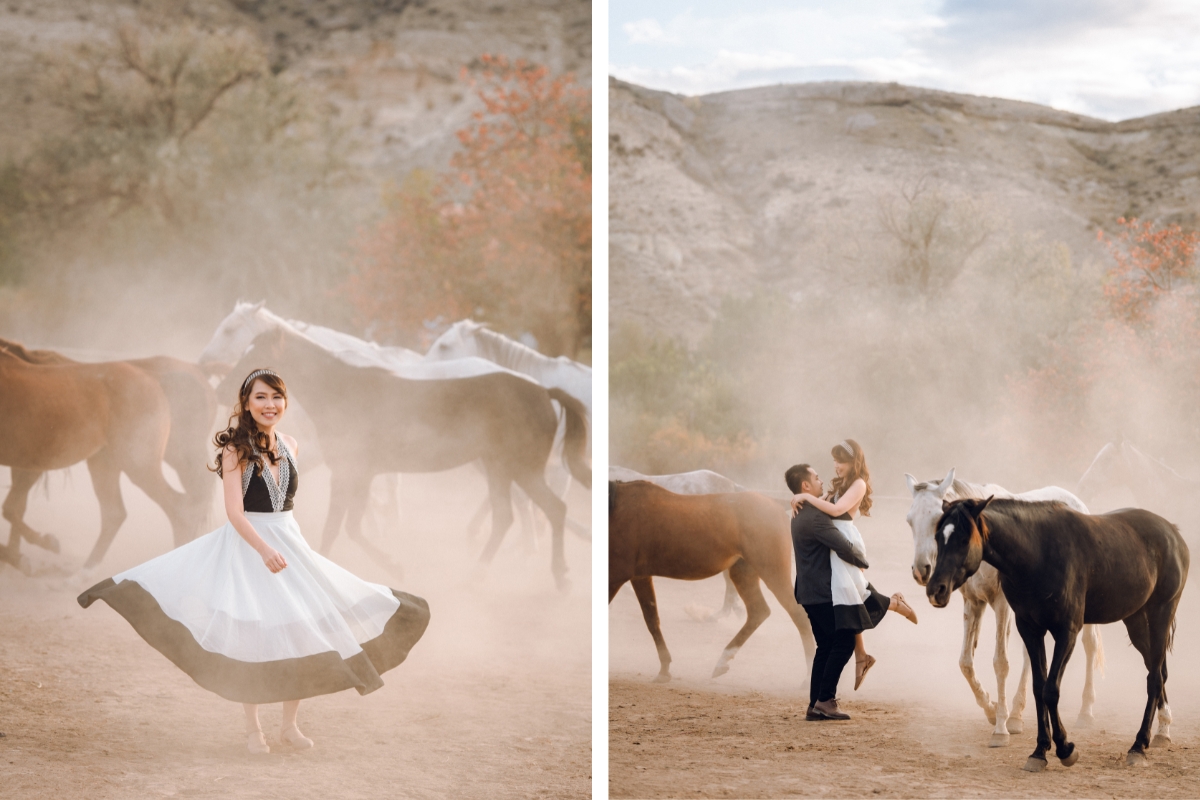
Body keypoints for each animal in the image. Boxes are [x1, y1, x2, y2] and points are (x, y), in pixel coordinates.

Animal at [219, 326, 590, 594]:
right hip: (502, 468)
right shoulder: (356, 473)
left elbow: (341, 528)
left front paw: (391, 567)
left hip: (520, 469)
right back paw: (481, 576)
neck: (342, 391)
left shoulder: (352, 472)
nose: (222, 386)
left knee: (552, 510)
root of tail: (544, 391)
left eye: (256, 353)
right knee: (509, 517)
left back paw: (556, 577)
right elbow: (345, 527)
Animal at [609, 479, 816, 686]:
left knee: (799, 615)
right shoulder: (640, 577)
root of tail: (775, 503)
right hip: (743, 572)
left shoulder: (617, 576)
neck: (617, 507)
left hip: (772, 571)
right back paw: (723, 661)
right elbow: (652, 620)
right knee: (759, 611)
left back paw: (807, 677)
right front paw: (664, 669)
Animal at [902, 470, 1099, 753]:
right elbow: (965, 663)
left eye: (937, 519)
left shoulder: (1001, 604)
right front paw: (992, 710)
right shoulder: (974, 602)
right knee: (1030, 656)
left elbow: (1001, 662)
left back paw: (1085, 711)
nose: (921, 572)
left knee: (1090, 645)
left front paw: (1000, 729)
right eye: (910, 521)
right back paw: (1017, 714)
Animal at [926, 501, 1180, 767]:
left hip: (1161, 613)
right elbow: (1039, 688)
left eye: (964, 539)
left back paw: (1139, 745)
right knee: (1158, 671)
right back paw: (1162, 730)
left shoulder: (1066, 633)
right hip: (1136, 621)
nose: (935, 590)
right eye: (939, 537)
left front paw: (1065, 749)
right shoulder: (1030, 630)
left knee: (1154, 678)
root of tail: (1173, 533)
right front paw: (1040, 750)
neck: (1037, 553)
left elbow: (1051, 690)